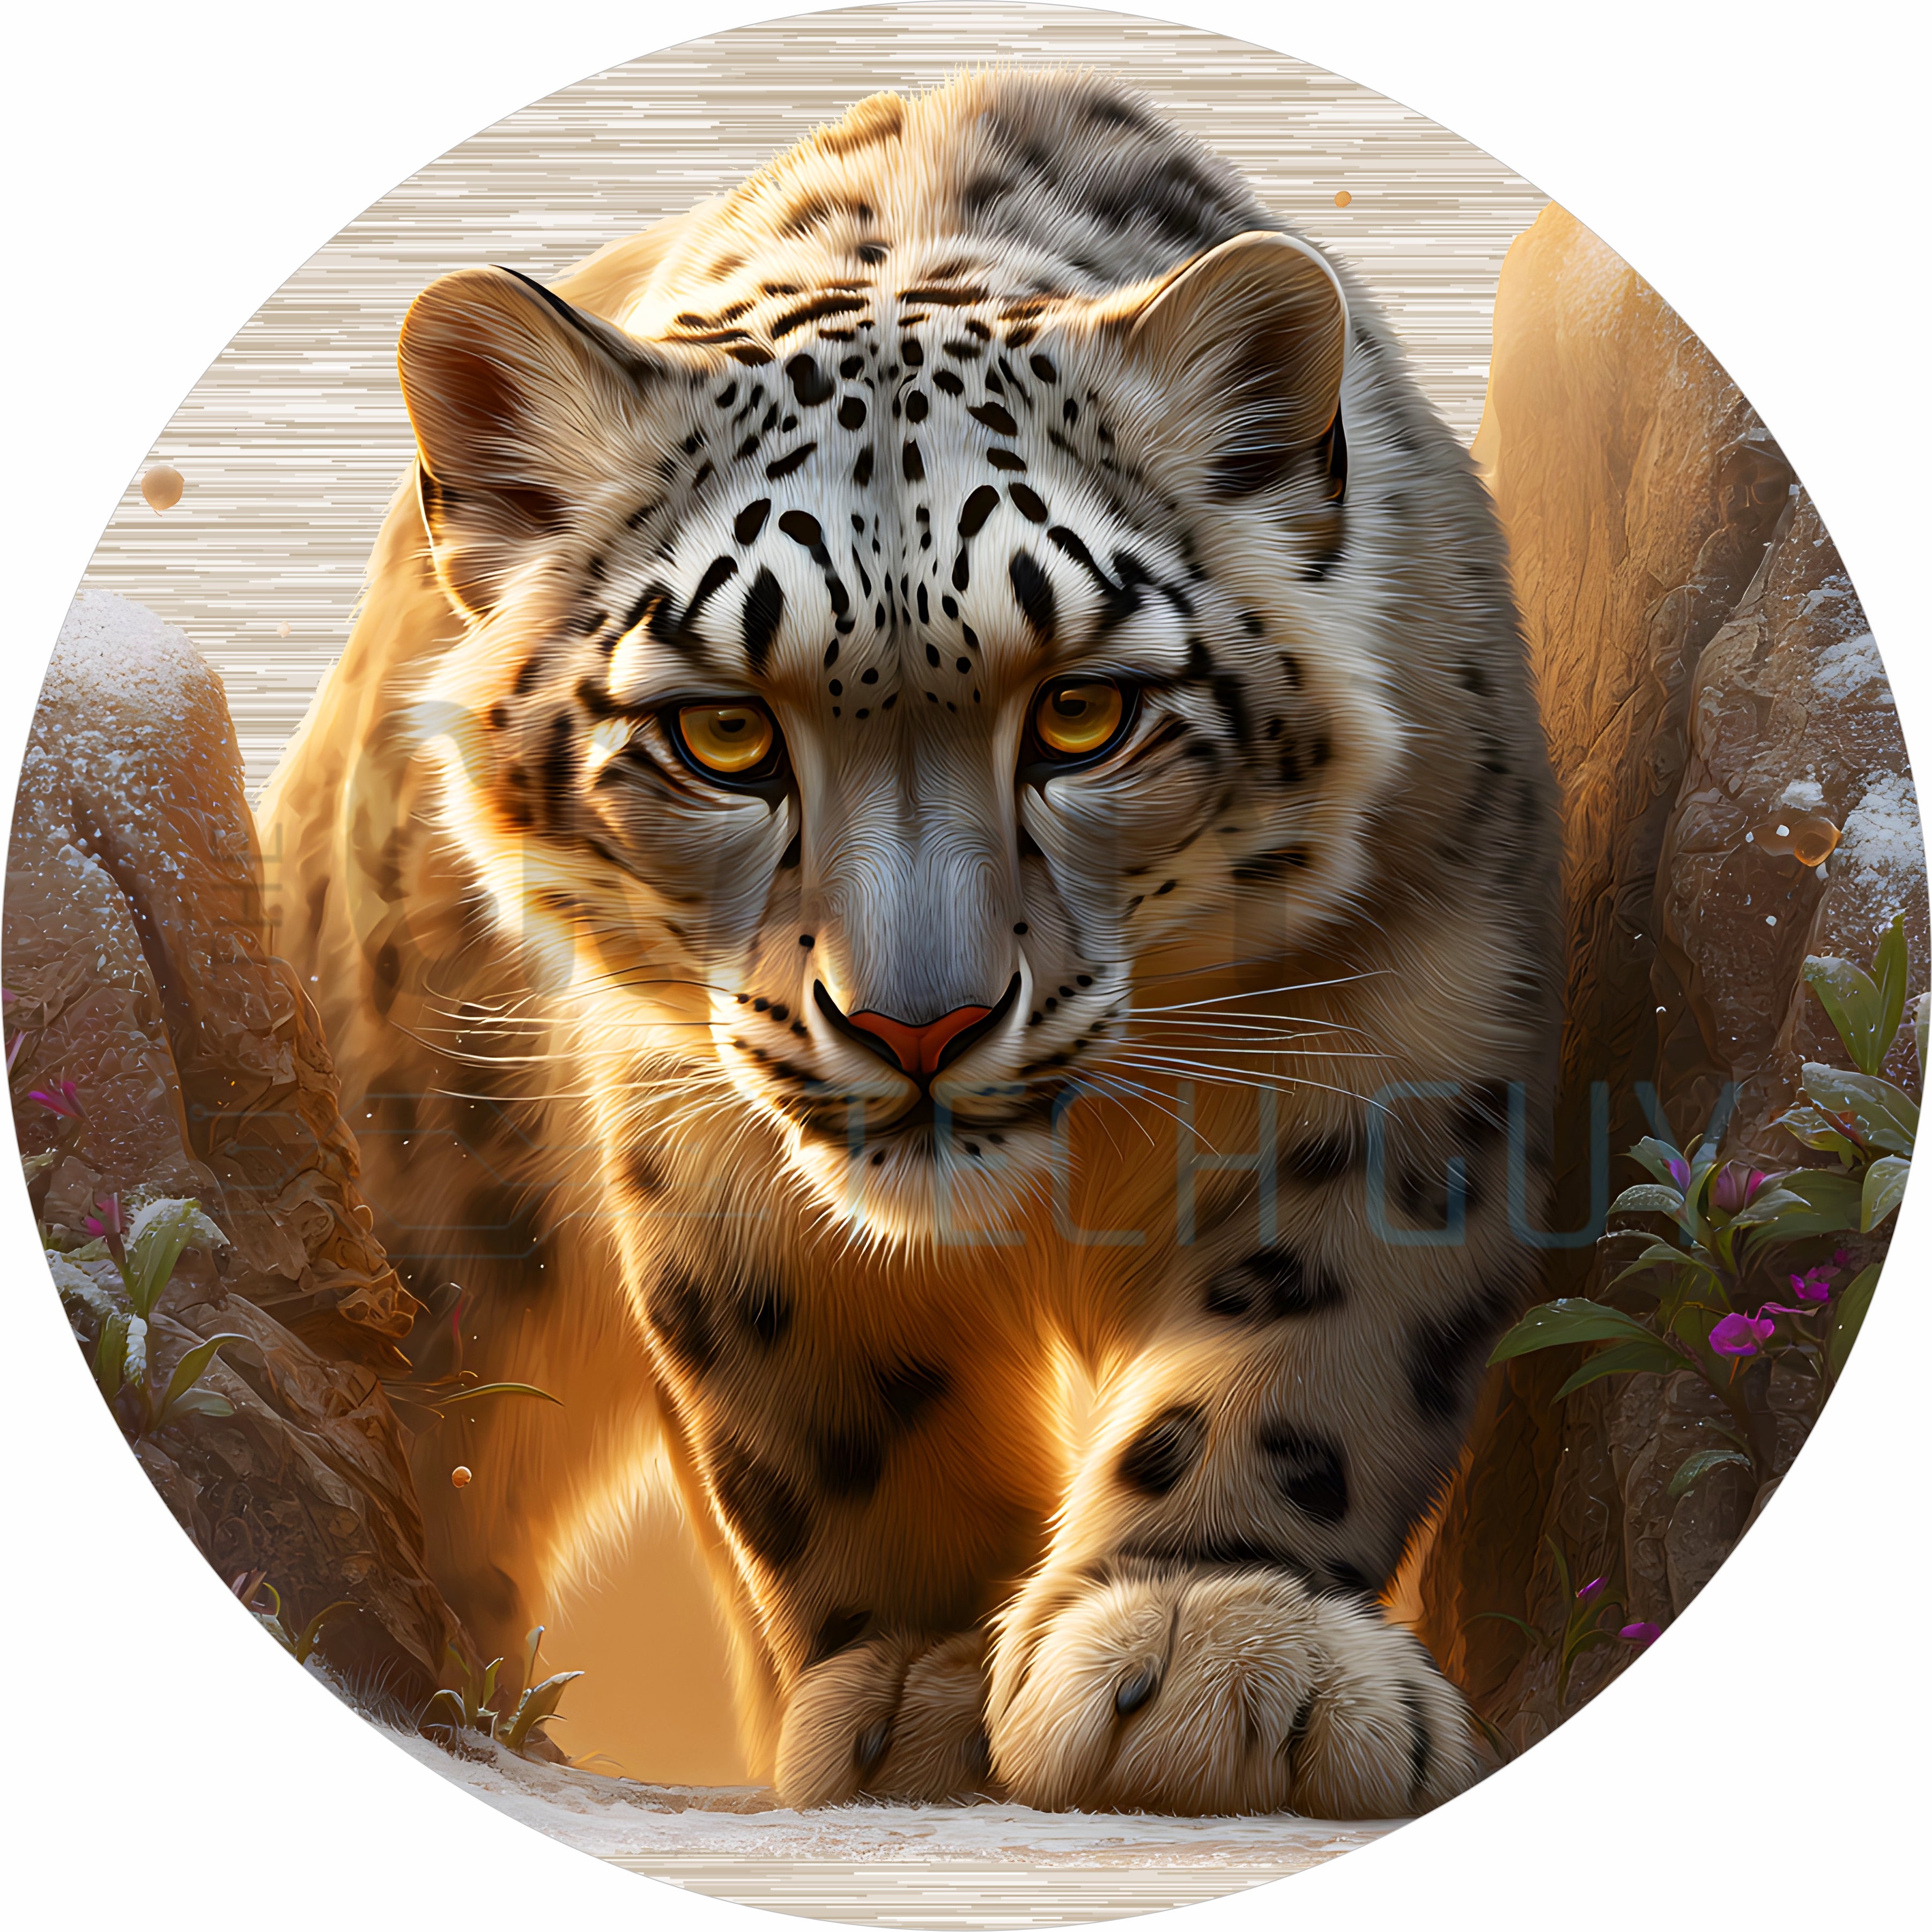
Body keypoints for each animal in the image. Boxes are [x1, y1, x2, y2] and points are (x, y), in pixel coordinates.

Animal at [259, 68, 1561, 1817]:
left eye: (1082, 714)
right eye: (722, 735)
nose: (918, 1025)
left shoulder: (1401, 1048)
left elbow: (1310, 1345)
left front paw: (1214, 1649)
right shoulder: (706, 1147)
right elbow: (836, 1421)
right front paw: (923, 1687)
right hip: (436, 1200)